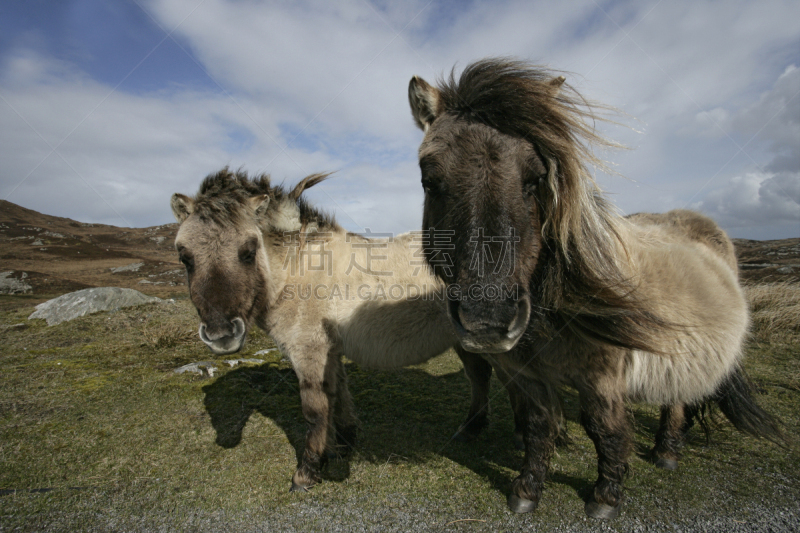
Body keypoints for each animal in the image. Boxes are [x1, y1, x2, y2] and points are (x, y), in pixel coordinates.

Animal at [169, 168, 520, 492]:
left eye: (248, 250)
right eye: (184, 256)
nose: (222, 336)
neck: (297, 270)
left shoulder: (308, 352)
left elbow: (314, 410)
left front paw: (307, 473)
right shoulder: (329, 351)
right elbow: (338, 395)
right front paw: (343, 444)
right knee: (479, 377)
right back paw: (470, 429)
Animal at [410, 59, 784, 520]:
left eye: (535, 179)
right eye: (429, 180)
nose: (488, 321)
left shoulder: (601, 378)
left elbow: (606, 430)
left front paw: (605, 495)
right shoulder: (524, 372)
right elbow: (537, 426)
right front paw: (527, 489)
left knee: (675, 399)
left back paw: (666, 450)